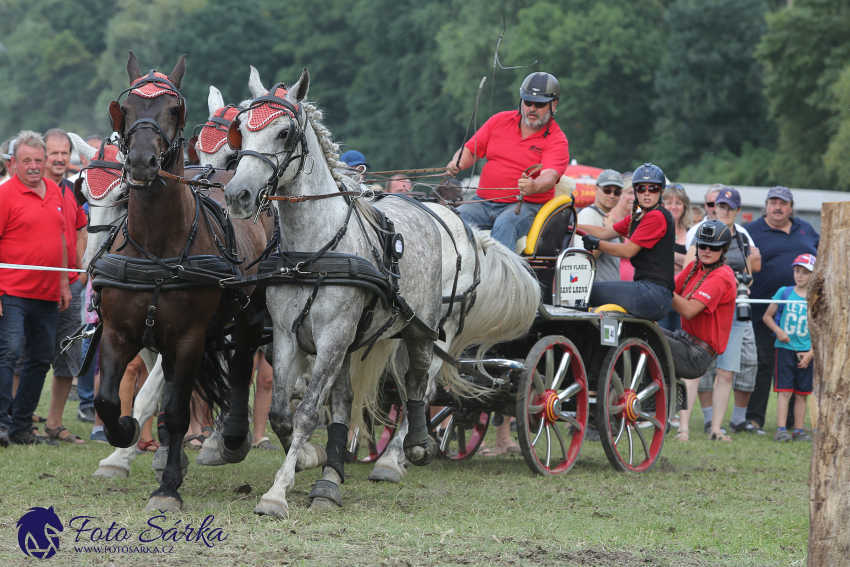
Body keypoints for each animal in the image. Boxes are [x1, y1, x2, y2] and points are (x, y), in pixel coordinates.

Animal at [92, 53, 268, 512]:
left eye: (173, 109)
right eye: (127, 108)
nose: (140, 161)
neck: (156, 244)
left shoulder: (190, 337)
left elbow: (175, 411)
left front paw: (168, 487)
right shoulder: (118, 332)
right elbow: (107, 400)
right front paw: (125, 432)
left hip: (251, 313)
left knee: (242, 363)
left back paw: (233, 438)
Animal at [220, 67, 536, 520]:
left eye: (284, 133)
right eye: (241, 130)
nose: (237, 195)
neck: (312, 250)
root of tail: (444, 216)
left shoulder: (333, 336)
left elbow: (306, 412)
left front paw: (277, 492)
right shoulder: (287, 335)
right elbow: (284, 411)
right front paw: (311, 461)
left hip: (428, 329)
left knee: (419, 384)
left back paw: (405, 451)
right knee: (353, 398)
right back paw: (333, 478)